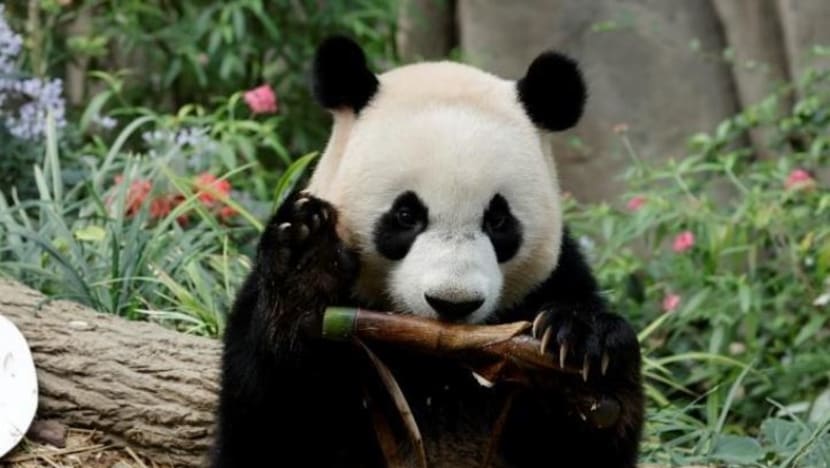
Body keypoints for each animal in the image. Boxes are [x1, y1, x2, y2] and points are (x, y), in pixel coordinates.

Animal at [211, 36, 644, 468]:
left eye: (498, 219)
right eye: (406, 215)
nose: (453, 303)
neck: (437, 359)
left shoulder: (556, 278)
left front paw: (582, 349)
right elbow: (268, 428)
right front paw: (308, 263)